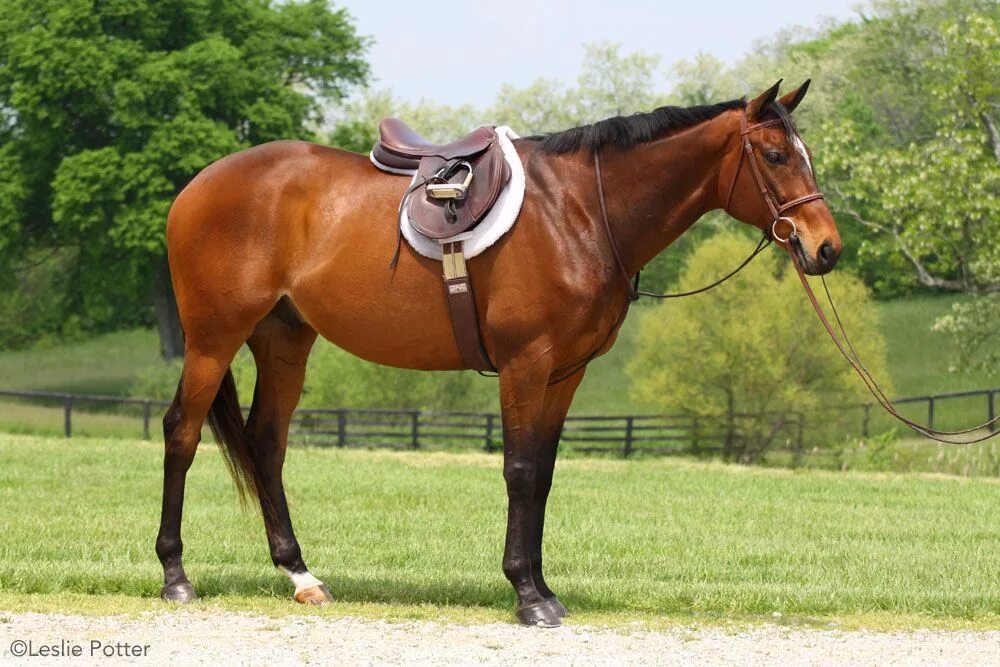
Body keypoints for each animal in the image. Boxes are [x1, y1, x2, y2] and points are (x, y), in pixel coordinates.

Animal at [156, 82, 840, 628]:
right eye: (776, 156)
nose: (826, 248)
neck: (578, 210)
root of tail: (198, 185)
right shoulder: (524, 364)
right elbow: (519, 470)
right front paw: (527, 596)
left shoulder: (565, 373)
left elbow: (542, 474)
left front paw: (542, 587)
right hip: (213, 338)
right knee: (182, 432)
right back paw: (176, 576)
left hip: (284, 341)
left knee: (266, 443)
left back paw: (302, 576)